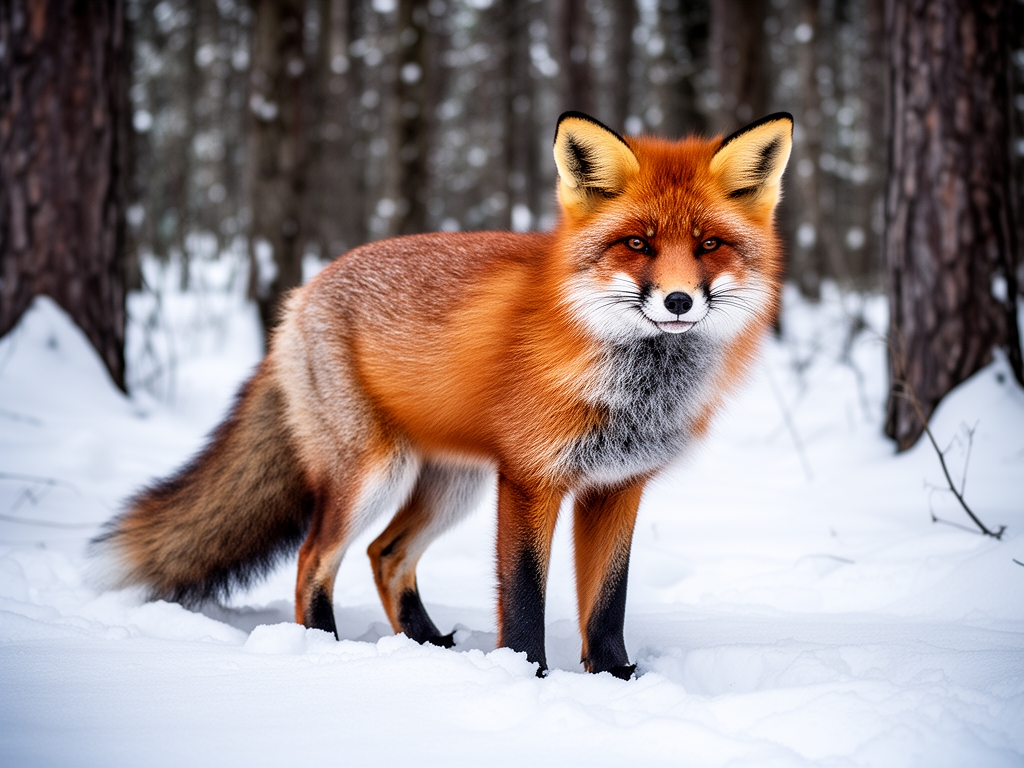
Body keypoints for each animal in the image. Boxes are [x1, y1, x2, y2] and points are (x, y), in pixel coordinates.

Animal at [94, 111, 792, 678]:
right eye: (638, 244)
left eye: (709, 244)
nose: (677, 301)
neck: (632, 386)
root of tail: (301, 296)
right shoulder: (530, 478)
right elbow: (524, 594)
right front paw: (526, 676)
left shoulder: (618, 485)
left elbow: (607, 604)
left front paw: (617, 680)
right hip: (374, 474)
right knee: (315, 556)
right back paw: (324, 648)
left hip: (453, 485)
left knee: (384, 554)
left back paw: (427, 646)